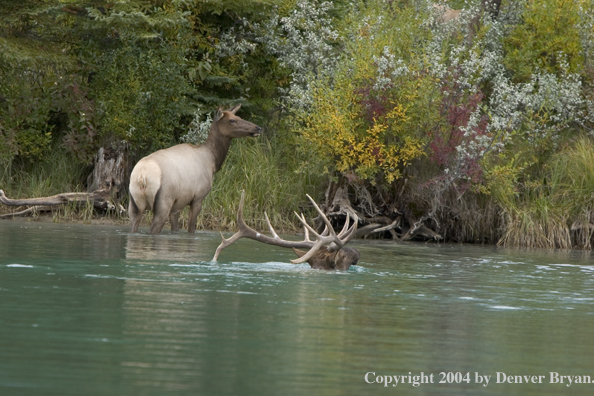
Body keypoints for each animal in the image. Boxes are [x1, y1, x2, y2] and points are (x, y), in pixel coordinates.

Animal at [128, 105, 260, 235]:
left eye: (238, 117)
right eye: (232, 120)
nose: (257, 128)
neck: (213, 161)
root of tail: (142, 176)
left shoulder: (176, 206)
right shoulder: (198, 197)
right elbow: (191, 229)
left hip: (134, 204)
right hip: (164, 201)